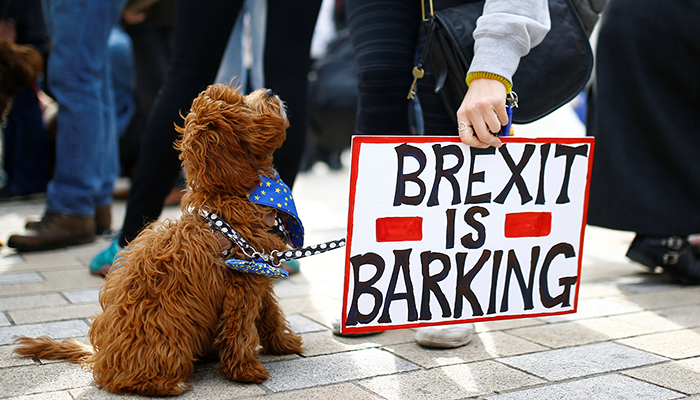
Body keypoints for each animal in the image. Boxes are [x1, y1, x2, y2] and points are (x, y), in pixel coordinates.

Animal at [13, 83, 304, 394]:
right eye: (241, 106)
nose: (270, 91)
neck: (240, 193)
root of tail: (102, 361)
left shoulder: (260, 270)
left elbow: (270, 313)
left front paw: (284, 344)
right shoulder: (243, 281)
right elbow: (240, 328)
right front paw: (246, 371)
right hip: (167, 338)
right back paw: (165, 384)